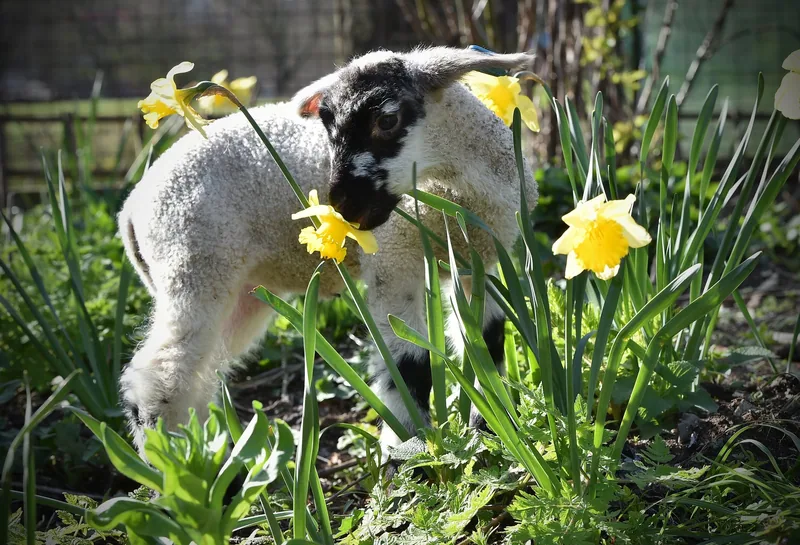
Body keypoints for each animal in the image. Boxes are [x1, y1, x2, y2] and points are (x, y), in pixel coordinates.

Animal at [118, 46, 538, 453]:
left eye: (387, 121)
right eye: (326, 124)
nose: (342, 206)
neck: (456, 194)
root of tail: (131, 208)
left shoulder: (479, 261)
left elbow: (488, 342)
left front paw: (493, 428)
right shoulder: (393, 260)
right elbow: (409, 362)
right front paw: (411, 450)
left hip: (237, 290)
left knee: (198, 377)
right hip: (192, 263)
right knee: (159, 377)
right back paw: (174, 464)